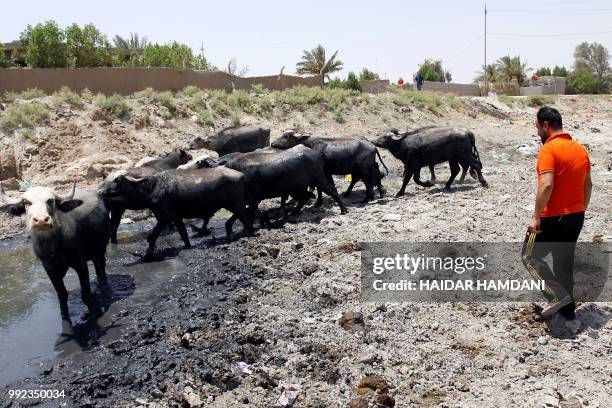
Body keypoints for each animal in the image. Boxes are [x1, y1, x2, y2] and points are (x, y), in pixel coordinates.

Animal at [0, 183, 110, 320]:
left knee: (101, 267)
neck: (53, 247)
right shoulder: (48, 267)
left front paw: (94, 313)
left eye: (50, 201)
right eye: (26, 202)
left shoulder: (80, 263)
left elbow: (86, 294)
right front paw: (65, 316)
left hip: (101, 247)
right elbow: (62, 294)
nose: (41, 220)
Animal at [99, 167, 252, 258]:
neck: (153, 188)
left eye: (118, 180)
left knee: (245, 217)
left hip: (236, 203)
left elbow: (152, 236)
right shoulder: (175, 217)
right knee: (240, 216)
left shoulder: (164, 217)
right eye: (108, 179)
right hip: (233, 204)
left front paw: (149, 253)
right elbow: (183, 233)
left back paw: (247, 232)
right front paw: (187, 246)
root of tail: (241, 175)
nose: (100, 192)